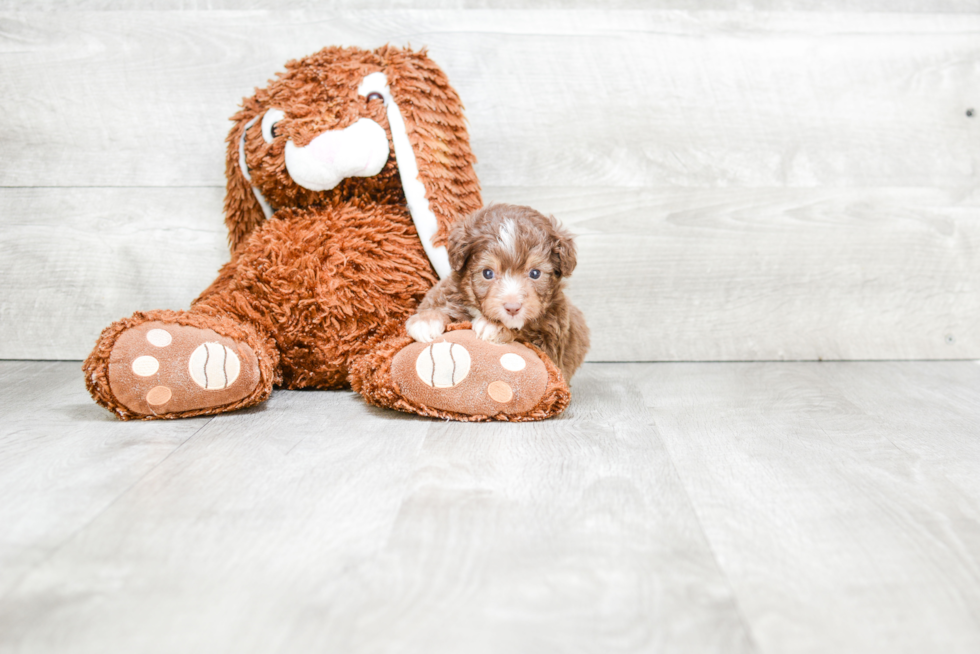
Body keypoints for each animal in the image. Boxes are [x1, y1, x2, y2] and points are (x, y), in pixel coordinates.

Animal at [406, 202, 588, 382]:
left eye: (535, 273)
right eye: (487, 273)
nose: (512, 307)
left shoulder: (550, 347)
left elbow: (524, 332)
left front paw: (494, 326)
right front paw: (426, 321)